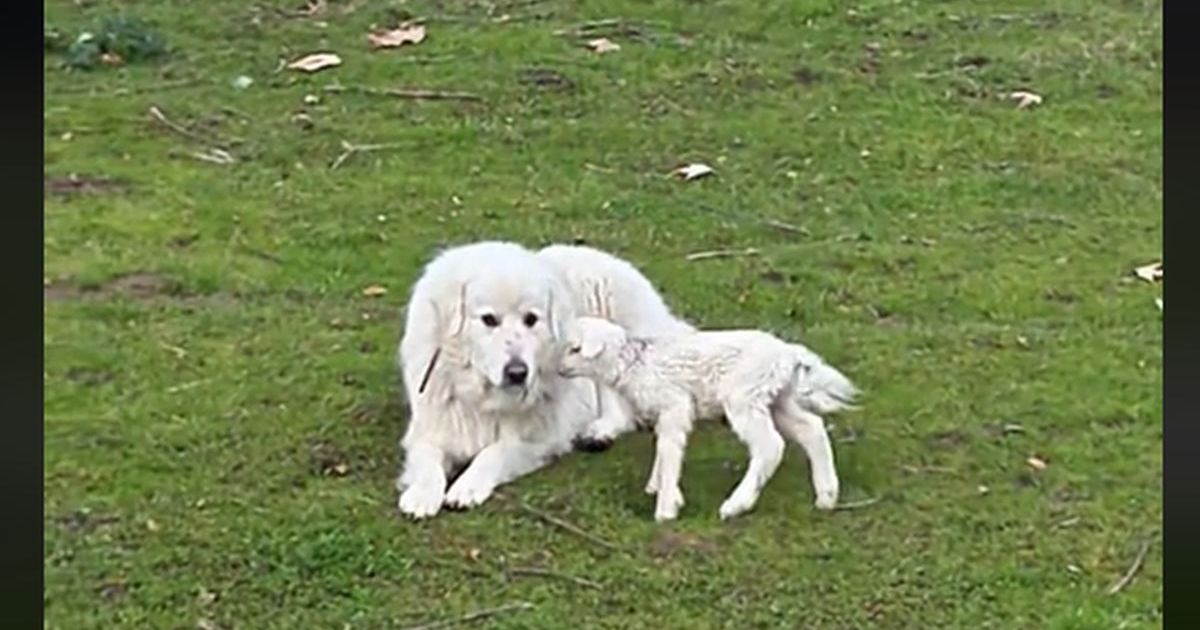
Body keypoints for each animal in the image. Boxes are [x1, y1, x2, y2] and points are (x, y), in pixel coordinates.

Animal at [396, 240, 691, 516]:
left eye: (531, 319)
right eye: (489, 319)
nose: (517, 373)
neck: (481, 395)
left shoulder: (538, 437)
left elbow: (494, 452)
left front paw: (467, 486)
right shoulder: (431, 426)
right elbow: (428, 459)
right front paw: (422, 494)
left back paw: (598, 432)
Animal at [556, 316, 859, 518]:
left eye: (576, 349)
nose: (559, 370)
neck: (632, 363)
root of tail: (788, 353)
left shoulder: (674, 404)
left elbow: (670, 447)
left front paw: (666, 507)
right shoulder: (663, 411)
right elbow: (662, 446)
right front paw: (657, 486)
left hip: (744, 395)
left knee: (770, 446)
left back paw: (735, 505)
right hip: (776, 397)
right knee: (812, 428)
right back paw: (827, 496)